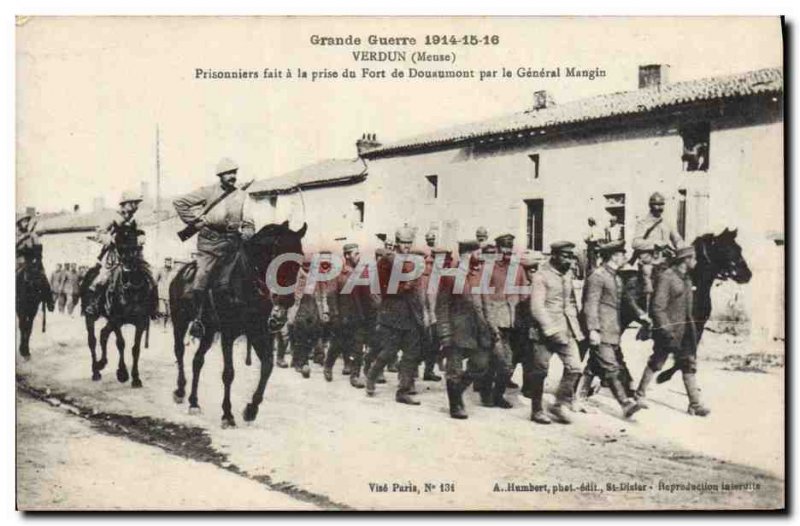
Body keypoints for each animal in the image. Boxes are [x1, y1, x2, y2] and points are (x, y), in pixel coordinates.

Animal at [79, 250, 158, 386]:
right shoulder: (116, 320)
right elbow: (121, 343)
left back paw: (101, 363)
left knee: (103, 334)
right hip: (91, 316)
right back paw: (95, 371)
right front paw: (122, 373)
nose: (127, 267)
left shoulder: (141, 322)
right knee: (92, 341)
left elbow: (136, 348)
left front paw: (136, 378)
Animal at [170, 222, 304, 428]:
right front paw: (227, 414)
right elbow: (229, 373)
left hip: (209, 332)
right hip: (180, 321)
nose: (286, 301)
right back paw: (180, 390)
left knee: (197, 361)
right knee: (179, 351)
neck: (245, 282)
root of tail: (179, 274)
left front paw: (251, 409)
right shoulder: (228, 334)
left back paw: (194, 402)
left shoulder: (258, 333)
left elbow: (267, 366)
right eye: (278, 255)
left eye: (300, 260)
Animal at [652, 229, 752, 386]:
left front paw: (665, 375)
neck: (696, 286)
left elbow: (688, 356)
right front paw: (663, 376)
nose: (747, 275)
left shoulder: (697, 327)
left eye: (739, 249)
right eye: (726, 249)